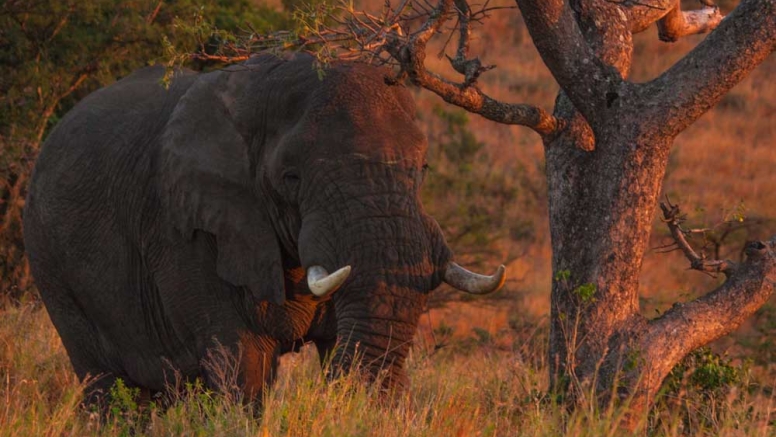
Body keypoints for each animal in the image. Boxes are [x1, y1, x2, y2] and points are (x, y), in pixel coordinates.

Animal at [22, 52, 504, 406]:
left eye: (423, 168)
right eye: (291, 177)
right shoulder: (186, 229)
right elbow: (243, 365)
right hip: (50, 266)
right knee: (106, 387)